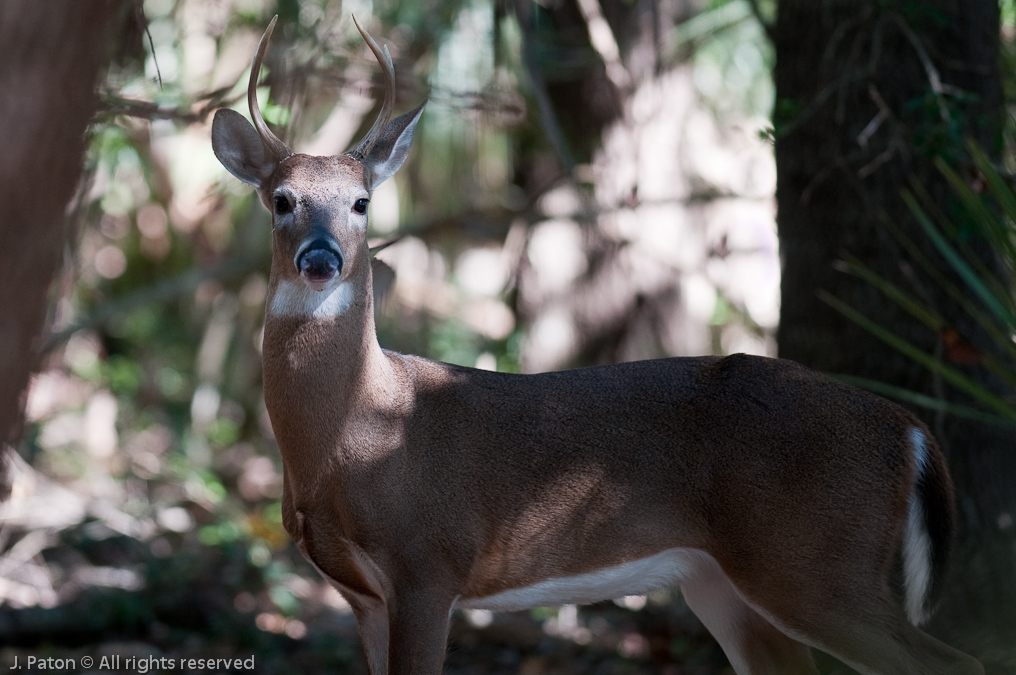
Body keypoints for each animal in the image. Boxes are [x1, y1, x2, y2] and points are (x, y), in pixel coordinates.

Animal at [212, 15, 983, 675]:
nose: (321, 258)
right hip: (728, 579)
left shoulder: (429, 564)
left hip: (816, 561)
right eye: (281, 199)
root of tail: (910, 429)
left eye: (362, 201)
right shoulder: (362, 594)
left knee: (957, 659)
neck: (357, 434)